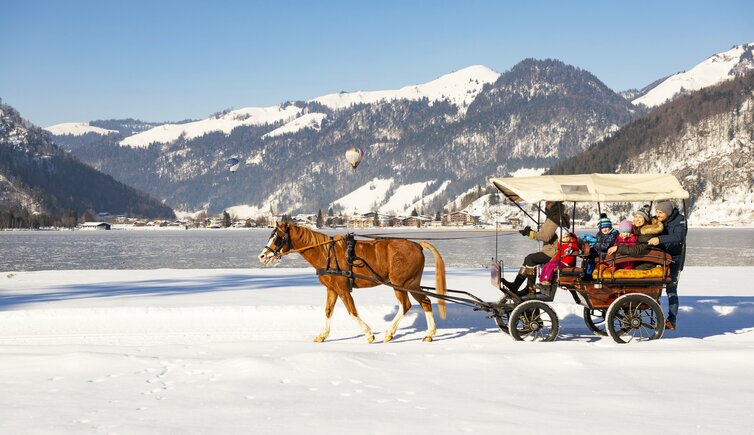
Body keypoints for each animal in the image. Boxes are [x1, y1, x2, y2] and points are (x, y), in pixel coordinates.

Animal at [258, 225, 446, 344]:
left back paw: (389, 333)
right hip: (411, 284)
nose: (262, 256)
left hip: (401, 284)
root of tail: (418, 245)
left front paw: (369, 334)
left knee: (406, 305)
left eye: (278, 238)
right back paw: (429, 334)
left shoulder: (342, 289)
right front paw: (322, 335)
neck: (326, 253)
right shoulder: (332, 289)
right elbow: (328, 311)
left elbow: (352, 311)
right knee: (425, 302)